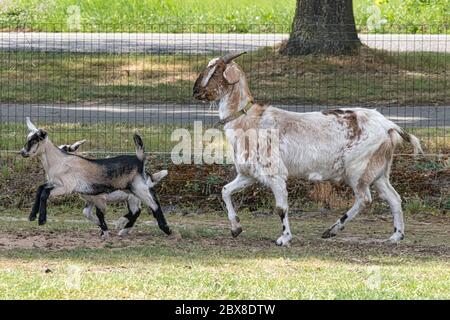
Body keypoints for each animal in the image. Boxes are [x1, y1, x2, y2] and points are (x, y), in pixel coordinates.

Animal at [19, 119, 171, 236]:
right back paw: (124, 228)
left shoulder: (67, 187)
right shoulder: (56, 184)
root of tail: (138, 159)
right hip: (132, 191)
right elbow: (40, 189)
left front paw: (42, 220)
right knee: (138, 209)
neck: (59, 161)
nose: (22, 152)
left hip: (137, 188)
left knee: (152, 205)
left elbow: (45, 193)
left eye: (33, 140)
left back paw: (165, 229)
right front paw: (32, 216)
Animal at [192, 52, 422, 245]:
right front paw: (236, 228)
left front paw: (284, 238)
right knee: (394, 198)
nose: (196, 91)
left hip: (358, 169)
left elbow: (281, 207)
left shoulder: (275, 174)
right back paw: (395, 236)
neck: (248, 119)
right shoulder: (249, 174)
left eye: (216, 71)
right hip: (378, 171)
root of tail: (389, 126)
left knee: (365, 199)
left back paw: (332, 230)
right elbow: (225, 190)